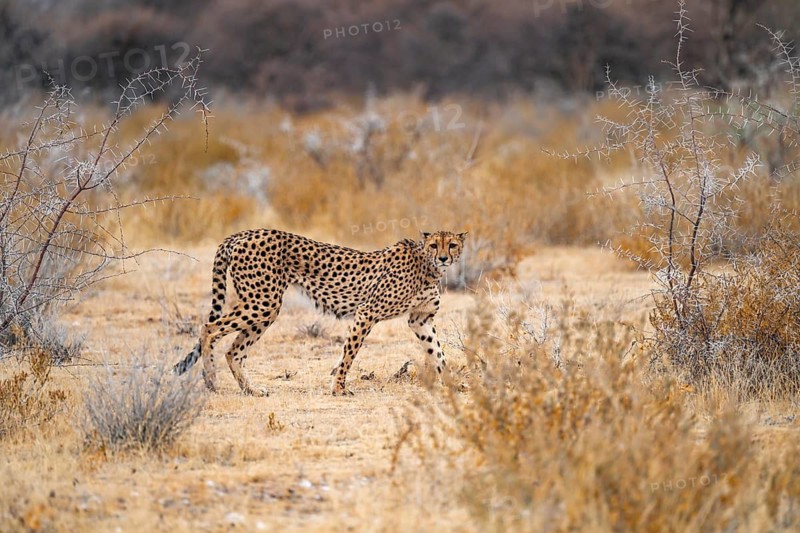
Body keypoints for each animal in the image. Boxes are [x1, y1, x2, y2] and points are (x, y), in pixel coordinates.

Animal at [173, 229, 467, 396]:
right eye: (434, 245)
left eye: (451, 245)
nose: (444, 257)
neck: (428, 266)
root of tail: (244, 233)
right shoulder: (367, 312)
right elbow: (349, 353)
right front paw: (338, 388)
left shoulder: (421, 320)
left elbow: (438, 353)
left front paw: (454, 384)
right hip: (263, 302)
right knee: (209, 328)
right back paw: (211, 380)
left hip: (264, 306)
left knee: (234, 351)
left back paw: (251, 390)